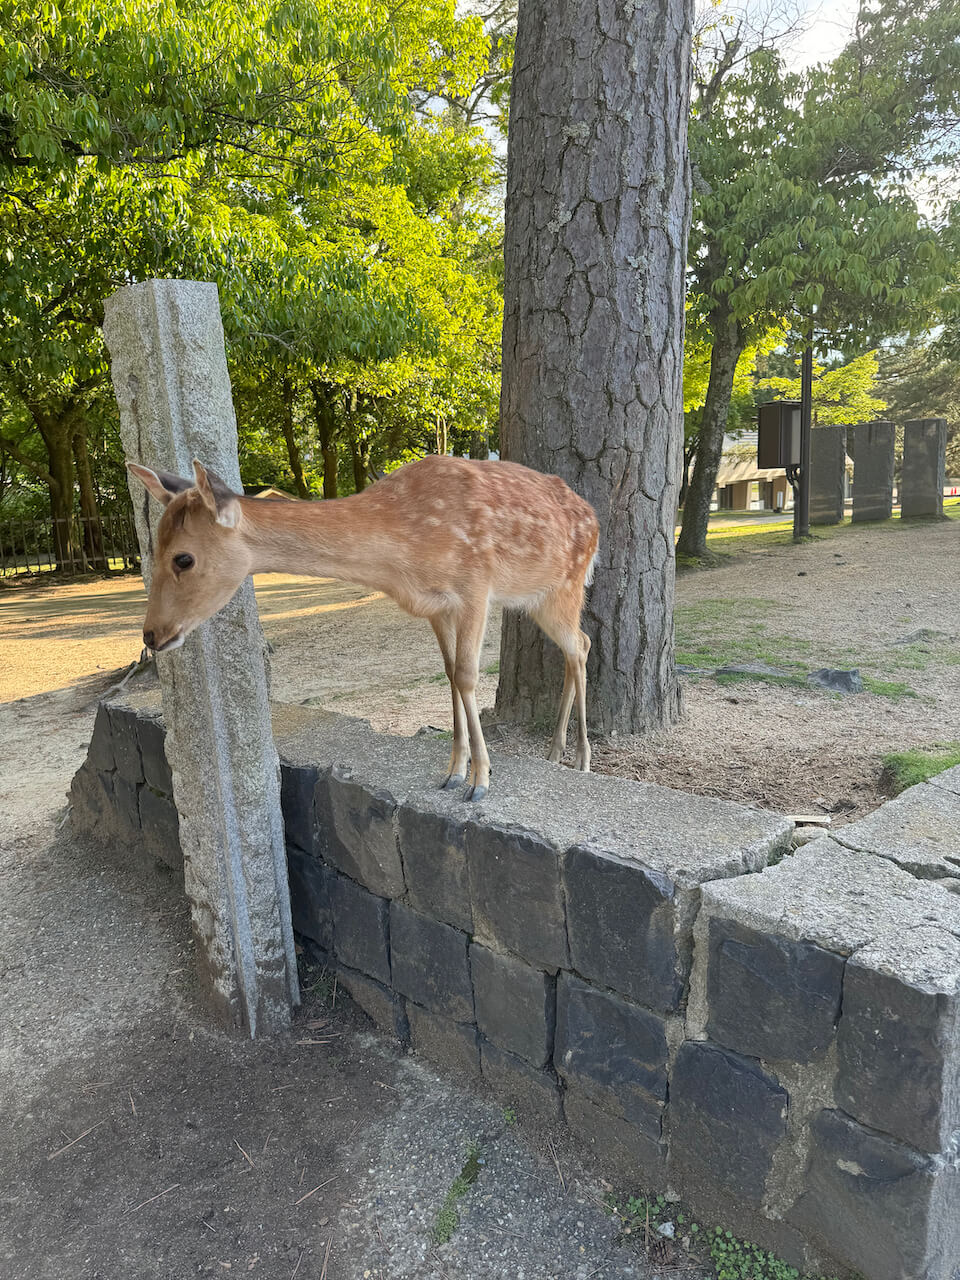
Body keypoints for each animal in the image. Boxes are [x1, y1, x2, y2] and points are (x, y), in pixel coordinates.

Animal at [124, 453, 599, 798]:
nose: (151, 634)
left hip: (565, 585)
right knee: (577, 645)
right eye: (152, 547)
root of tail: (594, 517)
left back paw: (581, 758)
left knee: (582, 643)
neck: (403, 553)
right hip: (538, 599)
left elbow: (466, 676)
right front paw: (452, 772)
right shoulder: (436, 607)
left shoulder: (475, 587)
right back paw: (555, 751)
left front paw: (480, 782)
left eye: (183, 558)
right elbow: (450, 677)